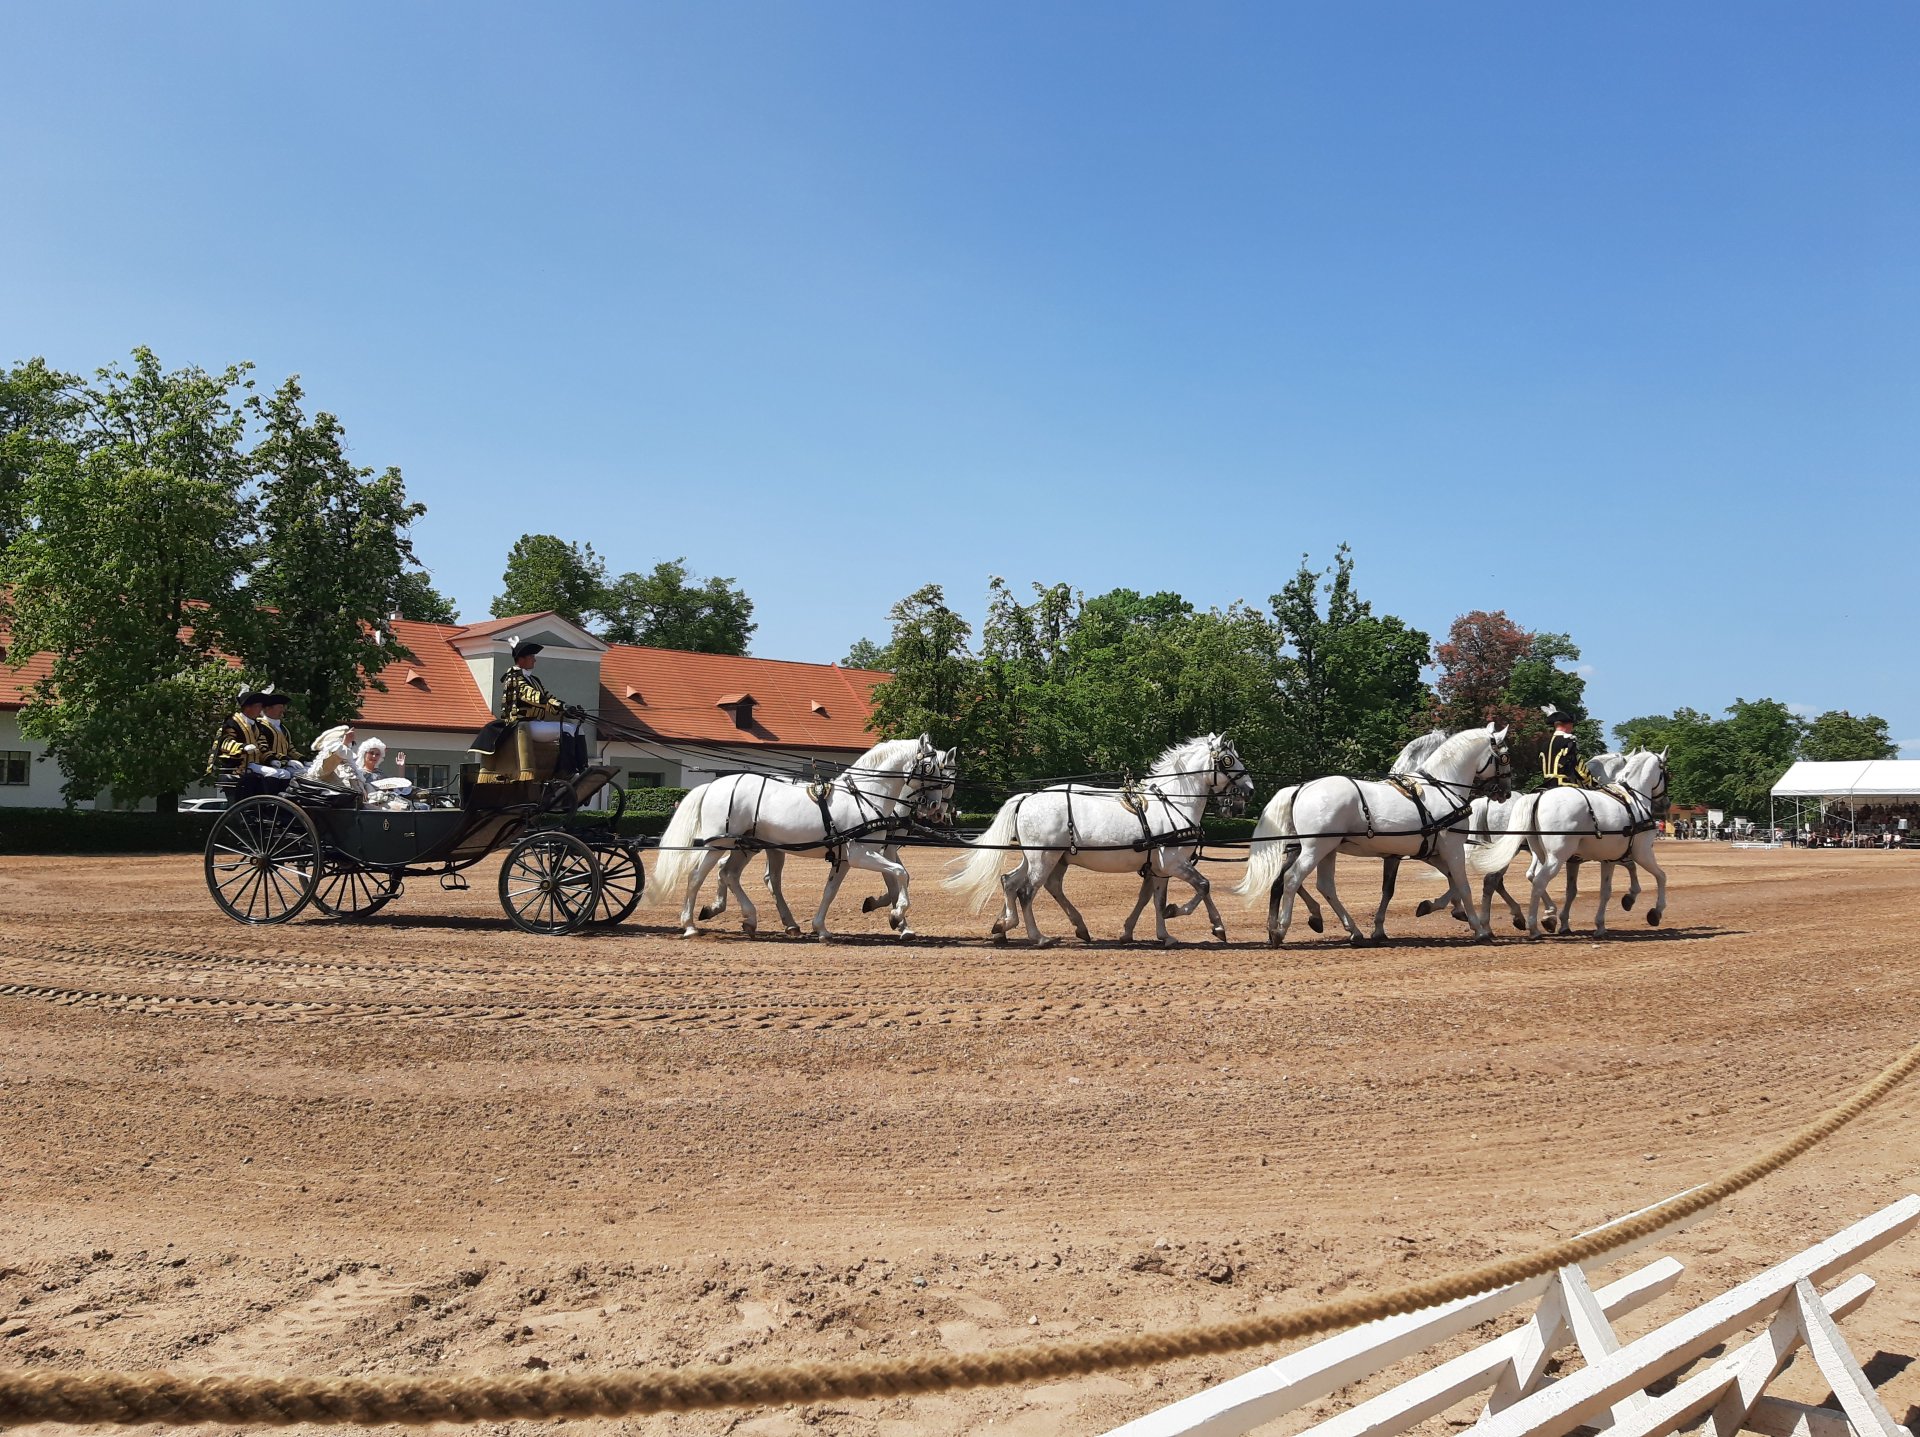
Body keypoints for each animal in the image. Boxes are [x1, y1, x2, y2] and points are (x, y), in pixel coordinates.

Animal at [652, 730, 952, 941]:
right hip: (719, 843)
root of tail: (712, 784)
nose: (935, 807)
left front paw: (821, 929)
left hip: (745, 845)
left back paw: (752, 919)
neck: (864, 796)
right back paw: (690, 925)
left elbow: (831, 891)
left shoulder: (845, 858)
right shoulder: (860, 853)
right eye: (932, 768)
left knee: (730, 874)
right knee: (697, 876)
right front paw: (898, 914)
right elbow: (901, 874)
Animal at [948, 733, 1251, 949]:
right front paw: (1208, 923)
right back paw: (1039, 937)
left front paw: (1154, 932)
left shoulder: (1158, 867)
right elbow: (1203, 885)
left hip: (1041, 857)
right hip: (1044, 857)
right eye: (1229, 760)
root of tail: (1027, 797)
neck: (1173, 802)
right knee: (1027, 891)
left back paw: (1006, 926)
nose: (1249, 790)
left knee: (1012, 882)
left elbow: (1151, 898)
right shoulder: (1174, 863)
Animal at [1244, 722, 1512, 949]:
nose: (1506, 792)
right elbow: (1463, 886)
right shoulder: (1452, 848)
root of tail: (1301, 788)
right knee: (1291, 879)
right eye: (1505, 756)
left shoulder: (1428, 852)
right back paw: (1281, 930)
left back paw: (1352, 931)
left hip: (1326, 849)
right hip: (1315, 848)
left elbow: (1448, 883)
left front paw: (1430, 908)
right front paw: (1479, 930)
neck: (1441, 788)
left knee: (1322, 885)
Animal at [1466, 745, 1666, 937]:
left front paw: (1560, 920)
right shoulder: (1634, 851)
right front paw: (1634, 899)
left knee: (1499, 881)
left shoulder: (1582, 859)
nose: (1665, 803)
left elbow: (1572, 890)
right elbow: (1642, 870)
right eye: (1664, 771)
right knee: (1501, 881)